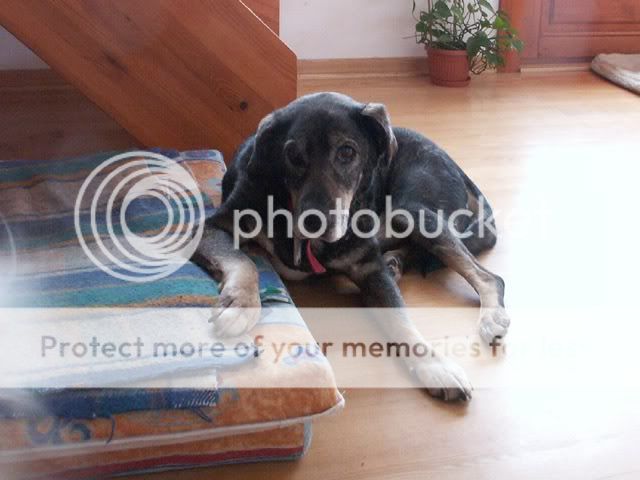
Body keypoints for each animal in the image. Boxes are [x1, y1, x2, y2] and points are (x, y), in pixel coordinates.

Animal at [193, 92, 510, 402]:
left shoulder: (369, 267)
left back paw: (487, 313)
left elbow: (402, 321)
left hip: (412, 210)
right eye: (293, 156)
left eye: (347, 152)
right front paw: (241, 302)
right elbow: (242, 259)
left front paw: (436, 367)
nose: (314, 221)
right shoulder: (213, 226)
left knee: (488, 276)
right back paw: (395, 262)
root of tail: (453, 163)